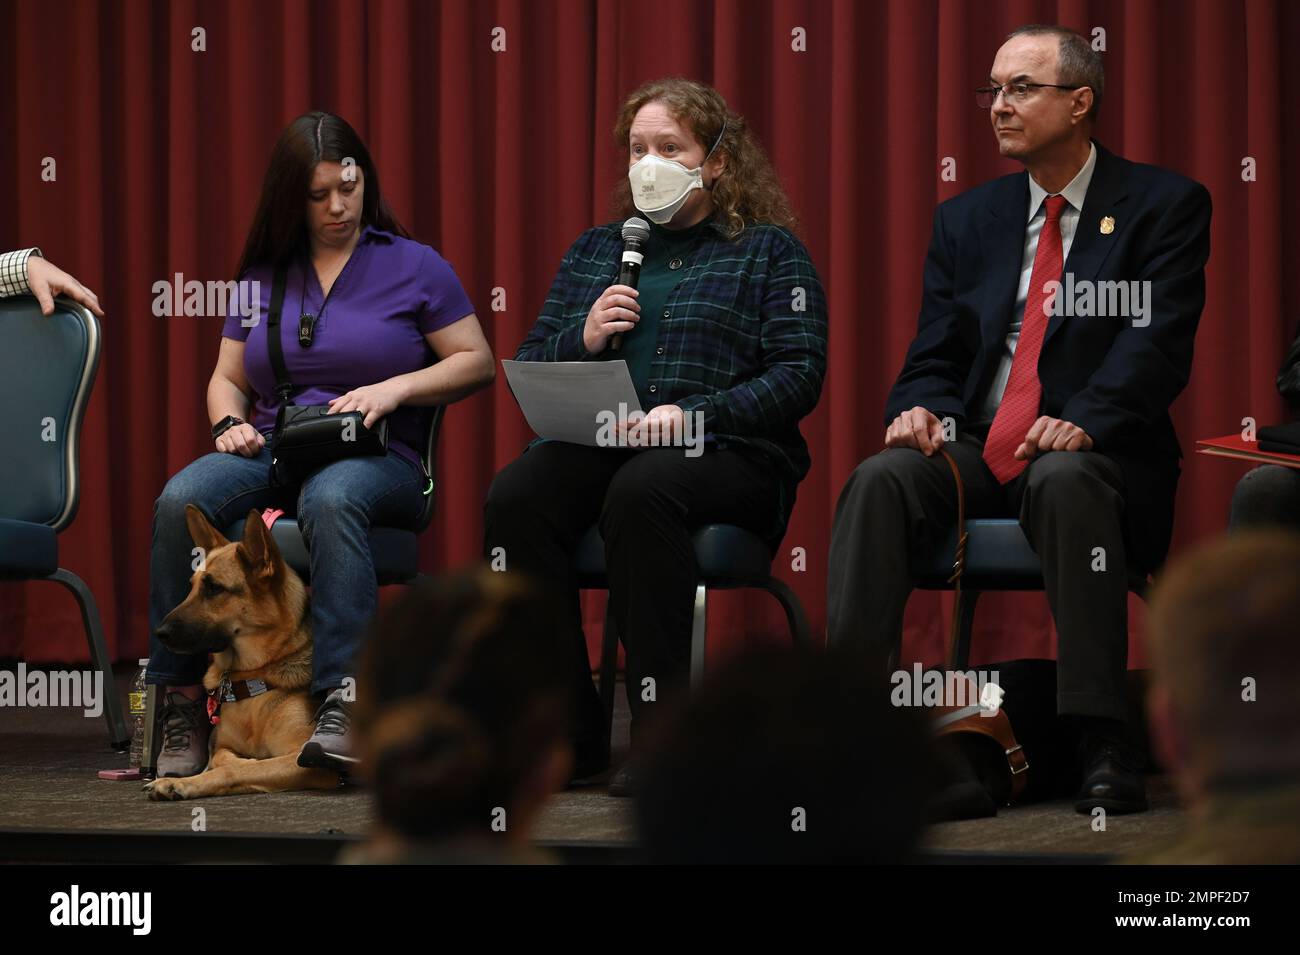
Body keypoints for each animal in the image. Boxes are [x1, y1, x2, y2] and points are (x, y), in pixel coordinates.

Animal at [143, 504, 340, 805]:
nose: (159, 633)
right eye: (192, 586)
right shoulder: (224, 745)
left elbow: (239, 769)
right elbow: (224, 758)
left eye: (214, 588)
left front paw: (182, 783)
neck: (253, 675)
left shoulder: (304, 759)